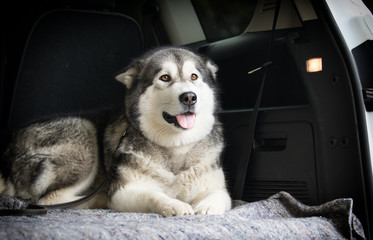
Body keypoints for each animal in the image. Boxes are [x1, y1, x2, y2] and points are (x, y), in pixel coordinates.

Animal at [0, 46, 231, 216]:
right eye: (165, 78)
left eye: (194, 77)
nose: (189, 97)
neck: (175, 147)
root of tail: (9, 146)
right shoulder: (123, 191)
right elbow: (153, 195)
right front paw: (174, 204)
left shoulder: (216, 187)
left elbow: (220, 196)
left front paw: (206, 207)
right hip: (83, 135)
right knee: (47, 200)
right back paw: (98, 199)